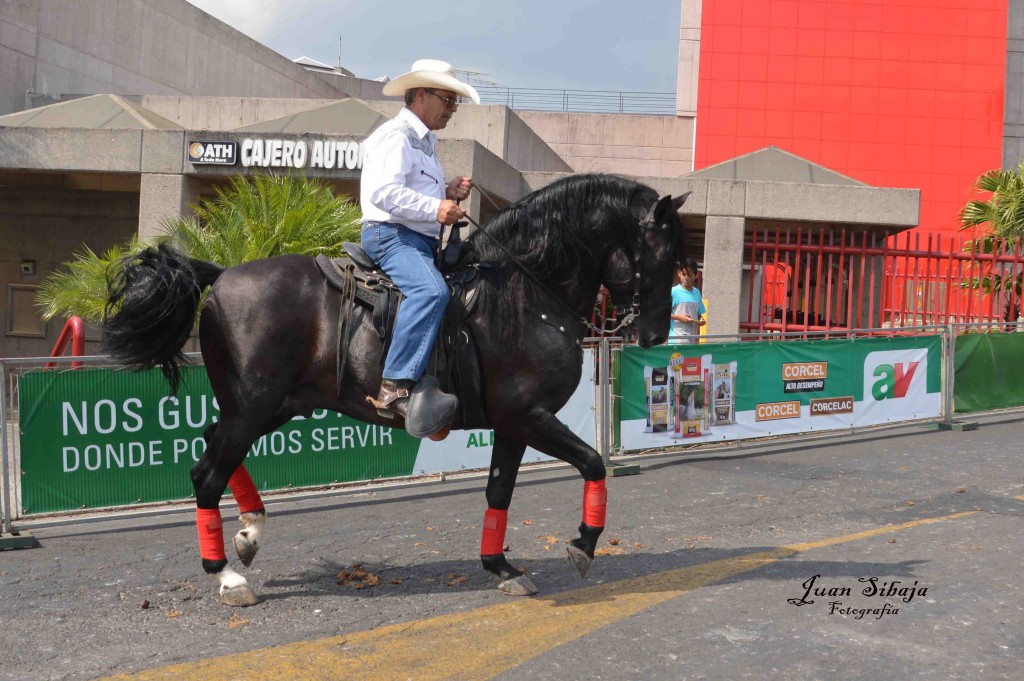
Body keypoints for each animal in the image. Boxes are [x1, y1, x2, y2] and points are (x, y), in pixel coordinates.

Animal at [103, 173, 688, 602]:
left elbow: (499, 491)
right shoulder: (529, 416)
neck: (525, 293)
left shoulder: (511, 424)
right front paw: (583, 545)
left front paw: (500, 567)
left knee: (212, 446)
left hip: (266, 408)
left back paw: (249, 532)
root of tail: (221, 275)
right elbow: (593, 462)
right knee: (206, 473)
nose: (656, 334)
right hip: (252, 410)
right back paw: (225, 574)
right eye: (665, 252)